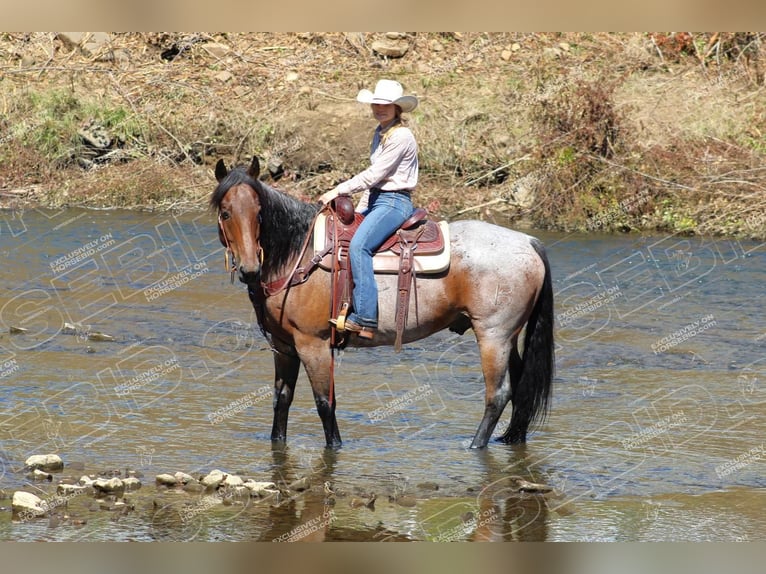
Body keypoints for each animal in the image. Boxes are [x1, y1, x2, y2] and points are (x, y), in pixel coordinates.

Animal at [212, 158, 560, 450]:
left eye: (259, 213)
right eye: (226, 212)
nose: (249, 269)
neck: (298, 253)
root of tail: (529, 241)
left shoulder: (314, 344)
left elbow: (325, 403)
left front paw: (335, 446)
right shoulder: (283, 345)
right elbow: (281, 399)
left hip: (493, 336)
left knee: (497, 394)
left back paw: (475, 445)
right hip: (507, 337)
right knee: (521, 385)